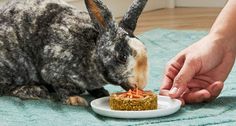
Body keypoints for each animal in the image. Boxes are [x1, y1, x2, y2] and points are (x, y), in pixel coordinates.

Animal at [0, 0, 148, 106]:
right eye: (122, 56)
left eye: (146, 49)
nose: (141, 84)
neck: (92, 53)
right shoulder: (53, 72)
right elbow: (62, 90)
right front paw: (75, 100)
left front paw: (103, 93)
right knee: (6, 88)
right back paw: (36, 91)